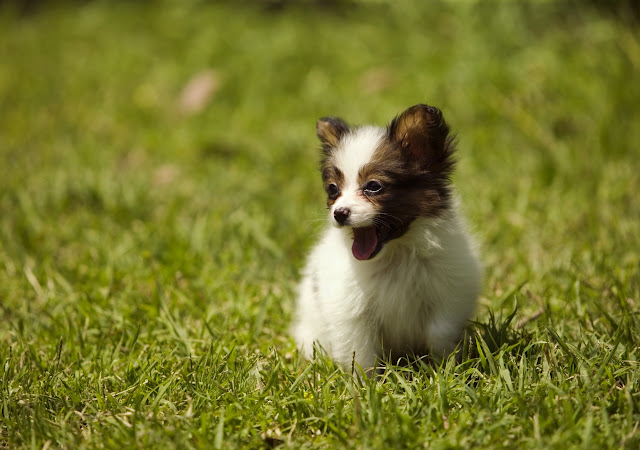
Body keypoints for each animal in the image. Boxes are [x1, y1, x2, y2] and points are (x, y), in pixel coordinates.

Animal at [292, 104, 482, 372]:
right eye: (333, 189)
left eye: (373, 186)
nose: (339, 213)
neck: (395, 254)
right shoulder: (352, 314)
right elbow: (361, 355)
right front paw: (365, 382)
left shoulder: (448, 296)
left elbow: (440, 334)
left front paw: (445, 370)